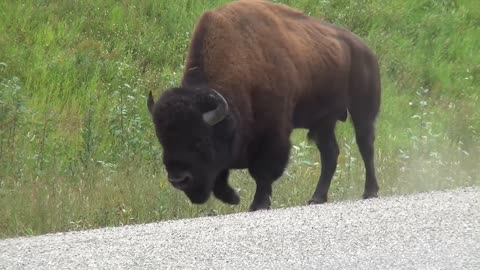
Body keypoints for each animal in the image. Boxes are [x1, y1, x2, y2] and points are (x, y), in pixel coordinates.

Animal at [148, 0, 380, 211]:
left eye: (199, 141)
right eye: (163, 141)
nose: (178, 179)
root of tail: (366, 50)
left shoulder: (272, 135)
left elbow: (262, 173)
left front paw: (257, 205)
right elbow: (221, 174)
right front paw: (234, 198)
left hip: (362, 110)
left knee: (365, 145)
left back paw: (370, 191)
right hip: (324, 121)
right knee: (330, 153)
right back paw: (317, 198)